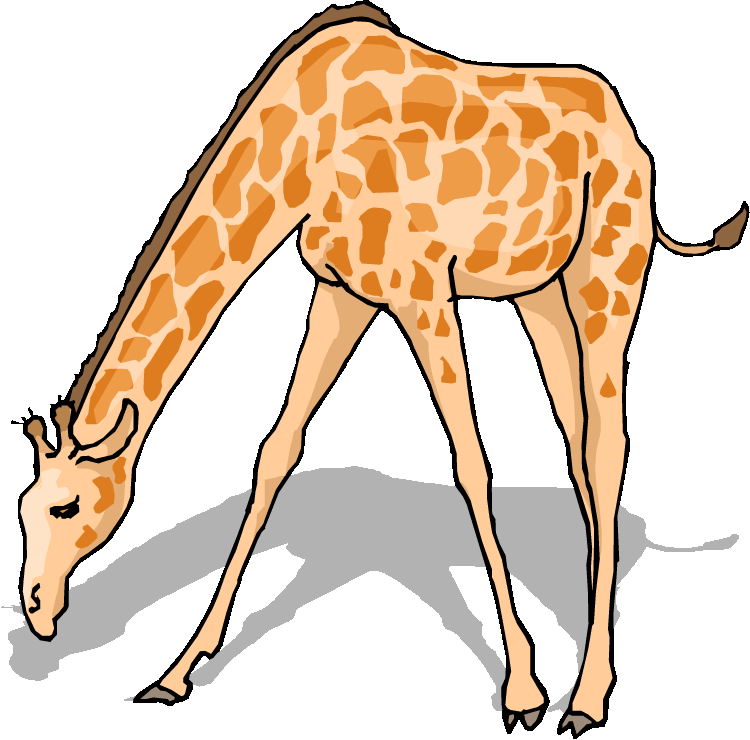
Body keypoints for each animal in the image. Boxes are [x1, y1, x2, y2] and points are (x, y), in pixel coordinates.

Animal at [15, 2, 747, 736]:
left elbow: (471, 463)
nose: (37, 608)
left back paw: (590, 696)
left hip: (610, 270)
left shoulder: (422, 291)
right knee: (579, 445)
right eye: (20, 508)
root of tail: (631, 133)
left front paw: (523, 689)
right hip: (540, 291)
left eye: (66, 505)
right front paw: (175, 671)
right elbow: (276, 450)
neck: (301, 150)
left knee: (608, 445)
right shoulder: (342, 290)